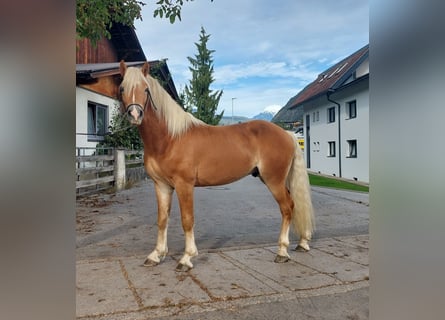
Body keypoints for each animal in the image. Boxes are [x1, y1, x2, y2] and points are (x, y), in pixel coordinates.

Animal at [118, 60, 312, 270]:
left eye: (146, 89)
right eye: (122, 88)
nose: (135, 114)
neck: (169, 138)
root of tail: (287, 134)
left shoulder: (184, 185)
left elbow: (187, 220)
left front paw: (186, 258)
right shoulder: (161, 185)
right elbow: (162, 220)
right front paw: (156, 255)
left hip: (274, 180)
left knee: (287, 207)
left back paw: (282, 251)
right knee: (293, 205)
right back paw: (302, 243)